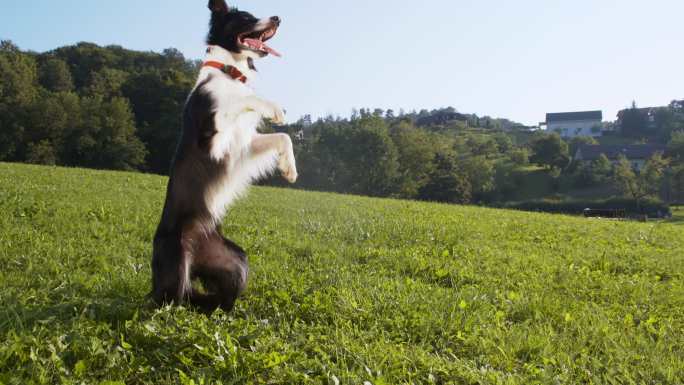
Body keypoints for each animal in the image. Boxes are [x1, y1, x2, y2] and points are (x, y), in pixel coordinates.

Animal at [152, 0, 296, 312]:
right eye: (245, 17)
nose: (278, 17)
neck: (229, 70)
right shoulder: (213, 136)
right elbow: (243, 98)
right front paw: (272, 107)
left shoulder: (242, 148)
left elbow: (284, 137)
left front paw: (289, 169)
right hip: (174, 260)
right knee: (170, 298)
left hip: (237, 262)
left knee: (215, 298)